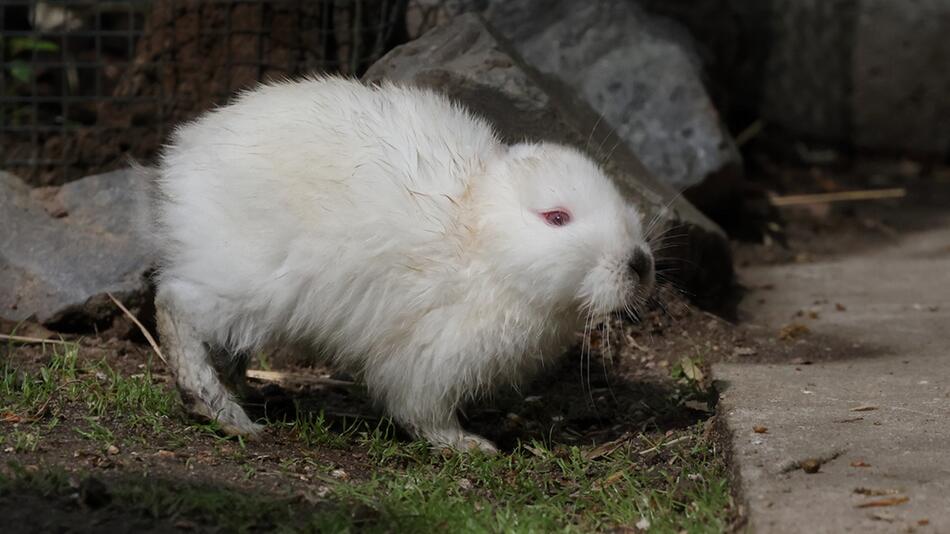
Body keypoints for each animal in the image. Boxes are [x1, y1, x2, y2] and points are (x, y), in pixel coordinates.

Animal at [147, 74, 656, 452]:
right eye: (556, 217)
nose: (639, 264)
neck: (482, 239)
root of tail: (180, 163)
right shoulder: (427, 355)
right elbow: (421, 409)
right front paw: (466, 445)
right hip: (245, 282)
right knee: (174, 306)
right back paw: (220, 410)